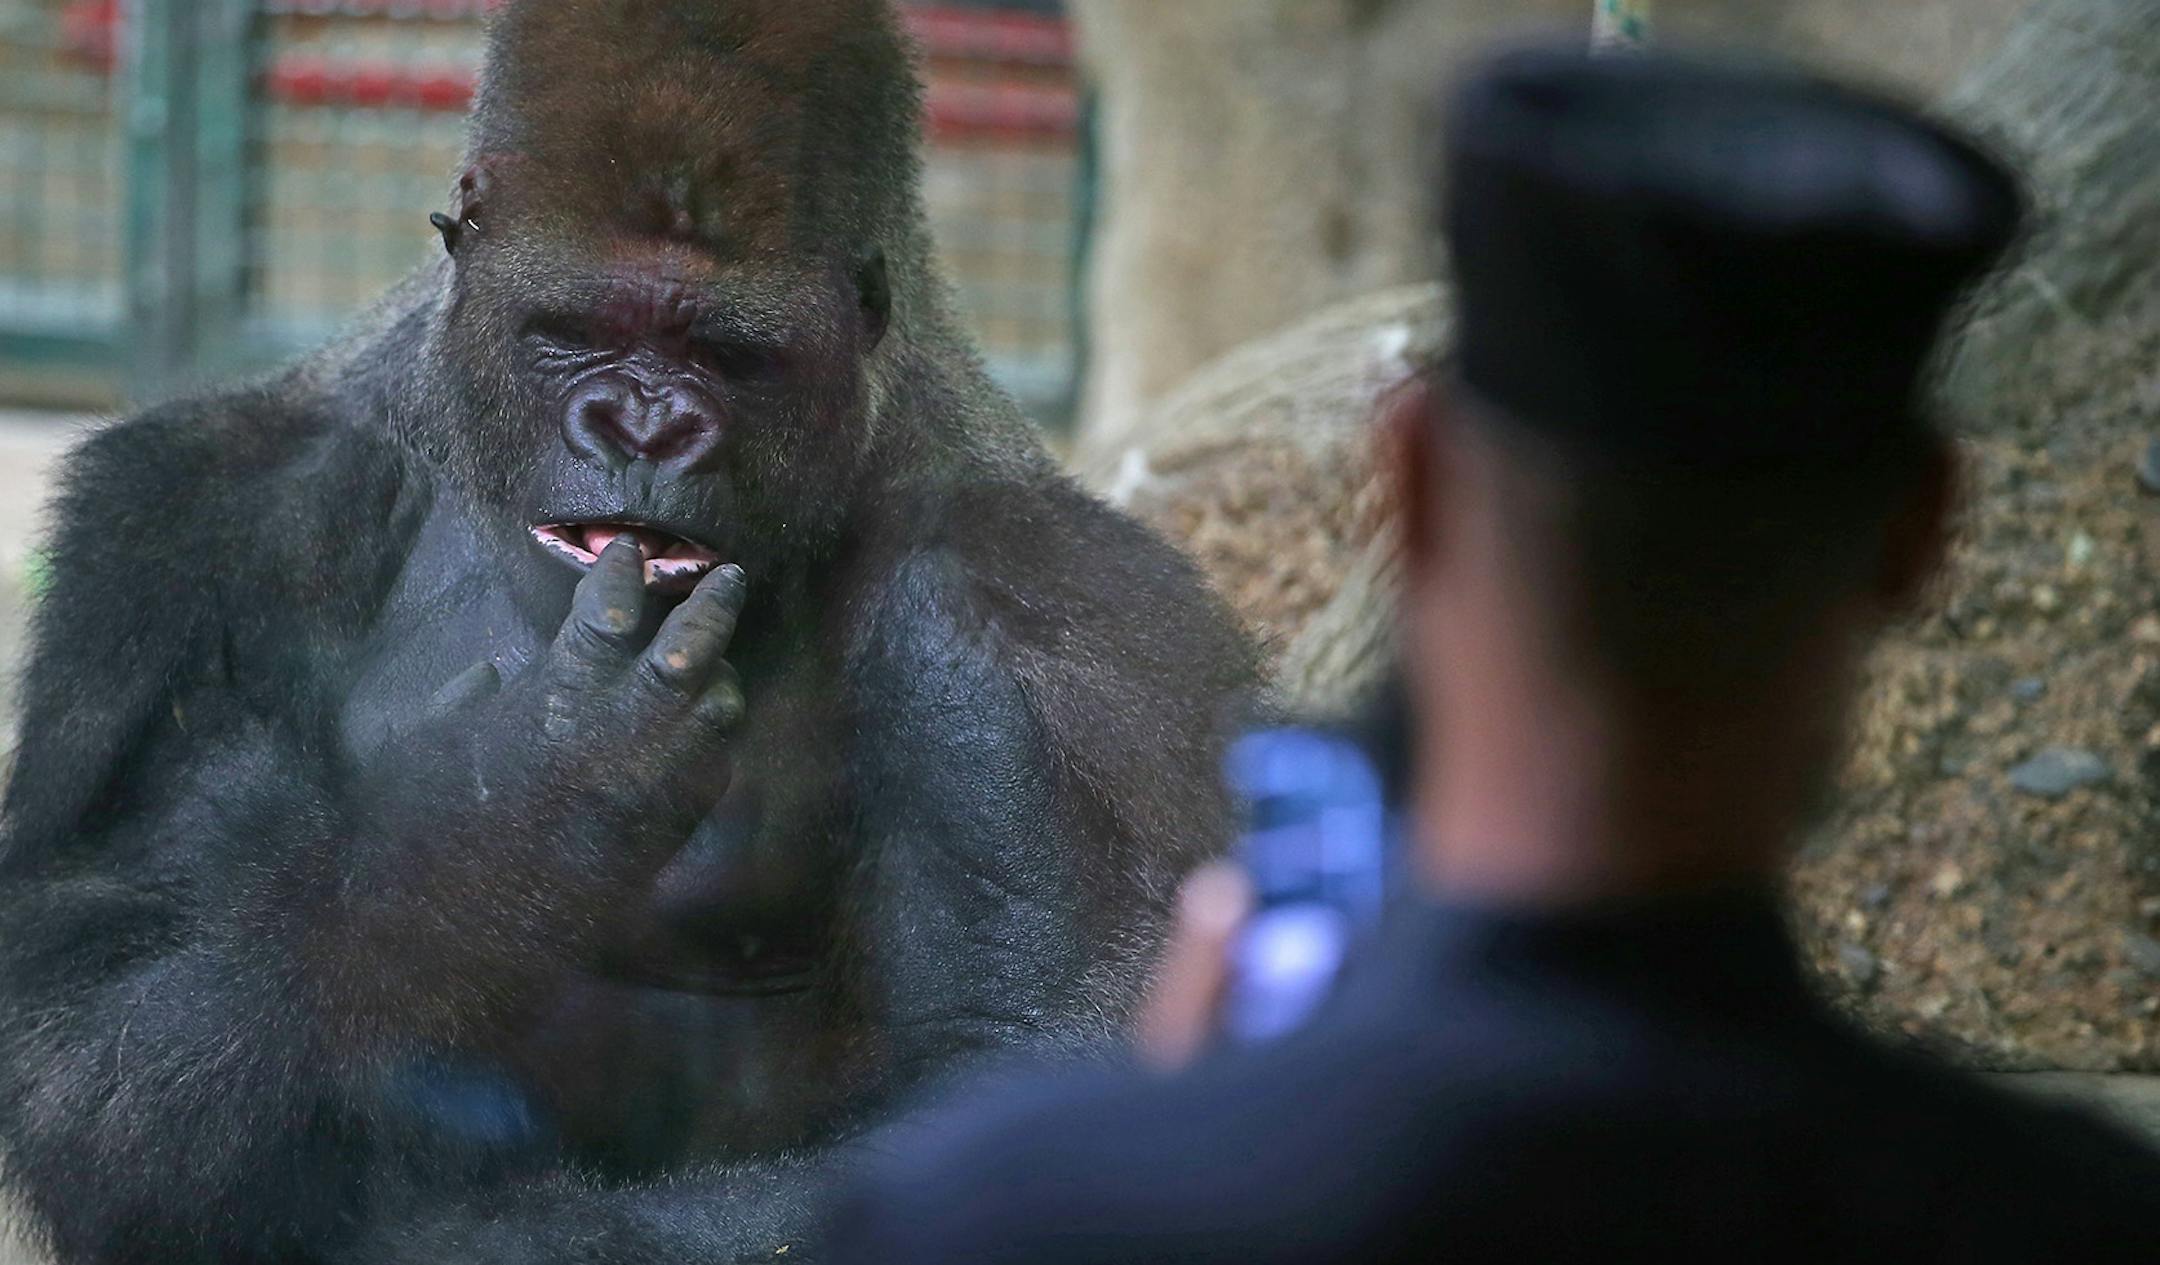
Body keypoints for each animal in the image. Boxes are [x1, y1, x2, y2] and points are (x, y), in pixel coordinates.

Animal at [0, 2, 1258, 1261]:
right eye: (576, 329)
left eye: (729, 354)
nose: (645, 425)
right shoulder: (199, 532)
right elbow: (92, 1019)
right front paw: (507, 821)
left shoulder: (1044, 620)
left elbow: (1018, 1069)